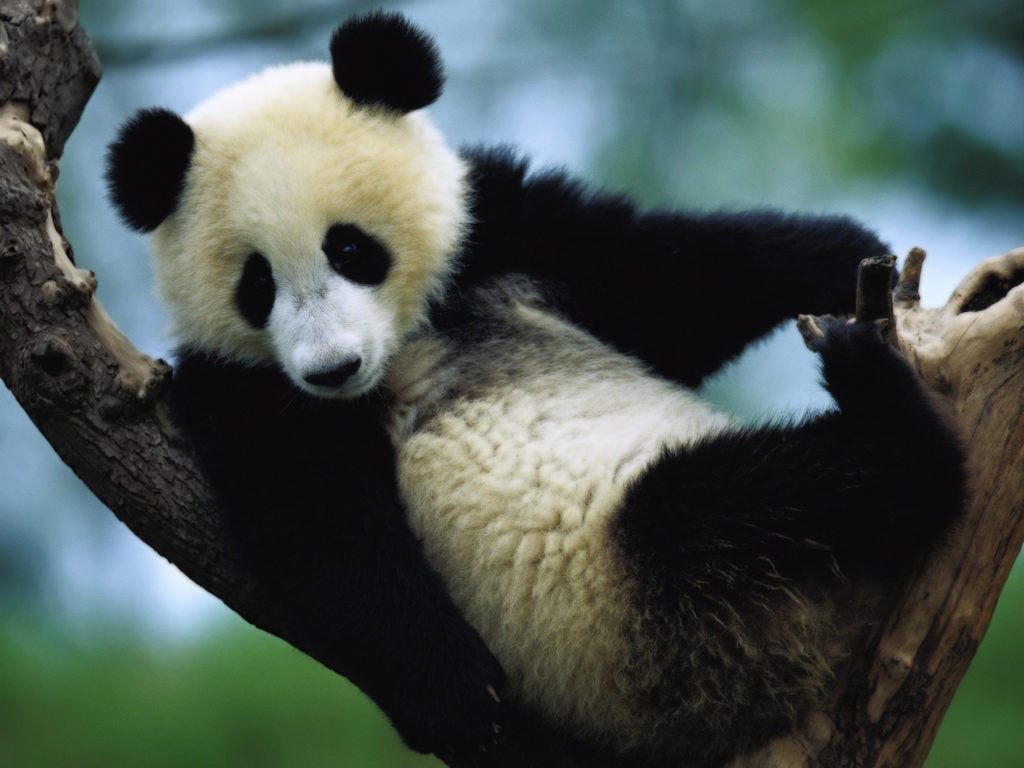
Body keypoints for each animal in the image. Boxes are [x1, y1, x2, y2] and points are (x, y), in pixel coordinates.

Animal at [105, 11, 966, 767]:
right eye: (258, 285)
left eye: (349, 248)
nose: (332, 368)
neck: (408, 341)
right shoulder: (243, 388)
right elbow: (321, 523)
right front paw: (452, 693)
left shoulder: (503, 232)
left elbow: (667, 280)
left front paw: (846, 253)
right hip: (667, 617)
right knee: (745, 503)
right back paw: (880, 406)